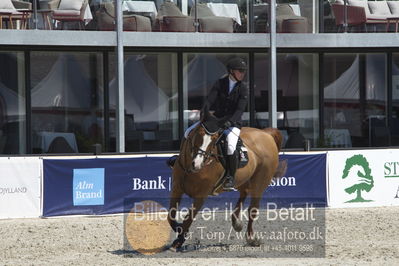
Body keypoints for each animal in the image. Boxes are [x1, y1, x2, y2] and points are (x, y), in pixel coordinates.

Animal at [168, 106, 284, 249]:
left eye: (214, 140)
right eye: (198, 134)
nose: (197, 164)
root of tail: (266, 134)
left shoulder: (201, 195)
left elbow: (189, 218)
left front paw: (179, 240)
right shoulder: (176, 189)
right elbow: (171, 216)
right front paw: (179, 230)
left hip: (260, 182)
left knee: (252, 209)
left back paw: (251, 238)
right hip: (242, 180)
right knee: (243, 193)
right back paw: (236, 222)